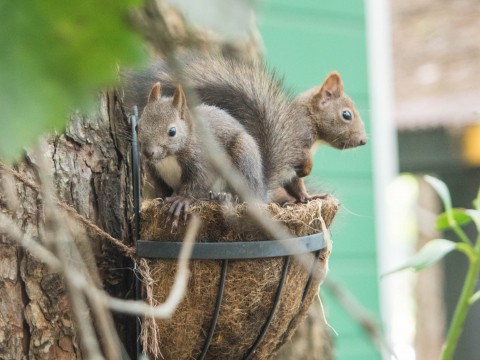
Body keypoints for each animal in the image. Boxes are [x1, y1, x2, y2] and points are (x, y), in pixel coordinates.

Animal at [122, 53, 366, 205]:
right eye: (347, 115)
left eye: (172, 131)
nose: (363, 140)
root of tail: (259, 188)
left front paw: (307, 197)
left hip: (242, 158)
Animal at [138, 81, 266, 225]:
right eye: (138, 126)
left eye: (172, 132)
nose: (148, 152)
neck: (169, 157)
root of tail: (262, 191)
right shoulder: (156, 173)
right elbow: (162, 190)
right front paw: (159, 200)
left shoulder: (203, 159)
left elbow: (200, 182)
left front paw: (181, 200)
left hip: (244, 156)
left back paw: (226, 196)